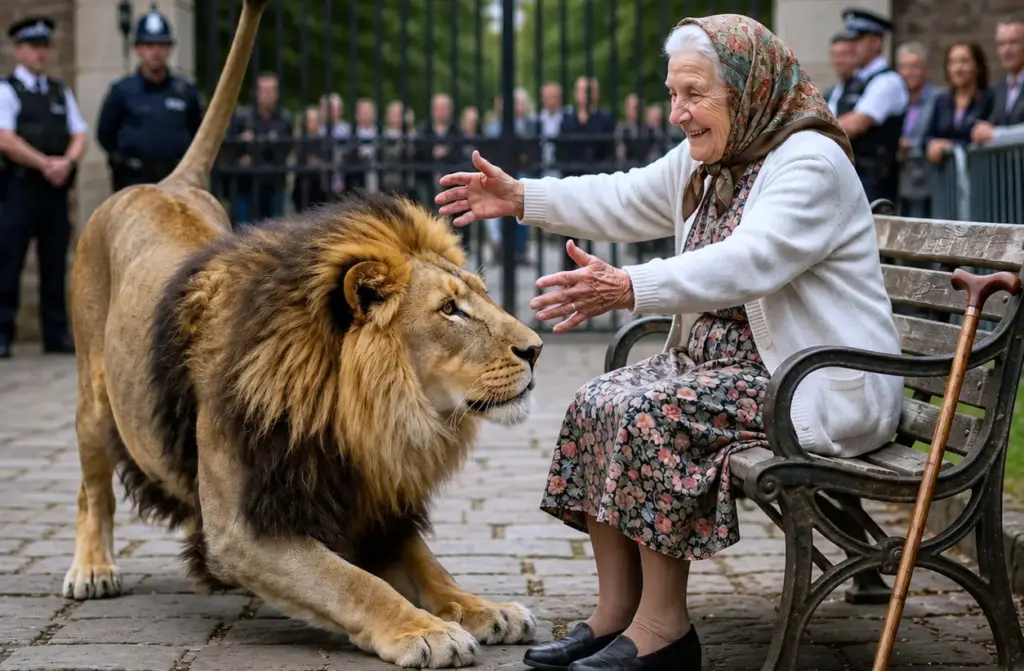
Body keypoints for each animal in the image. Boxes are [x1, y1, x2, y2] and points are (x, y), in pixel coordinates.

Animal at [62, 0, 544, 667]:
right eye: (450, 310)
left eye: (481, 296)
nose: (536, 349)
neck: (366, 412)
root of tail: (166, 183)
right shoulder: (242, 529)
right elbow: (352, 582)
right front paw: (425, 630)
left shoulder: (369, 498)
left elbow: (429, 567)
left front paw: (481, 608)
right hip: (93, 394)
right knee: (92, 488)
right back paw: (93, 568)